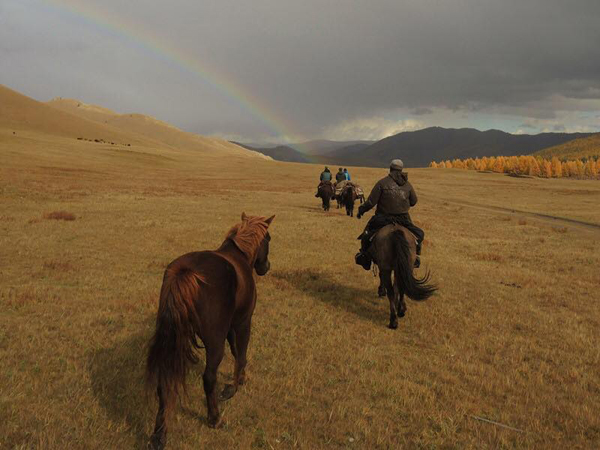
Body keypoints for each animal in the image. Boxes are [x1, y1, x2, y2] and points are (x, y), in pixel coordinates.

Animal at [146, 213, 276, 448]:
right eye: (268, 239)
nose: (266, 267)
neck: (239, 258)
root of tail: (186, 273)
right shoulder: (242, 322)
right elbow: (241, 353)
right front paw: (234, 386)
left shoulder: (229, 328)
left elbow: (236, 351)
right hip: (215, 344)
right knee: (209, 378)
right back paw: (214, 418)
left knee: (164, 382)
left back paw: (159, 435)